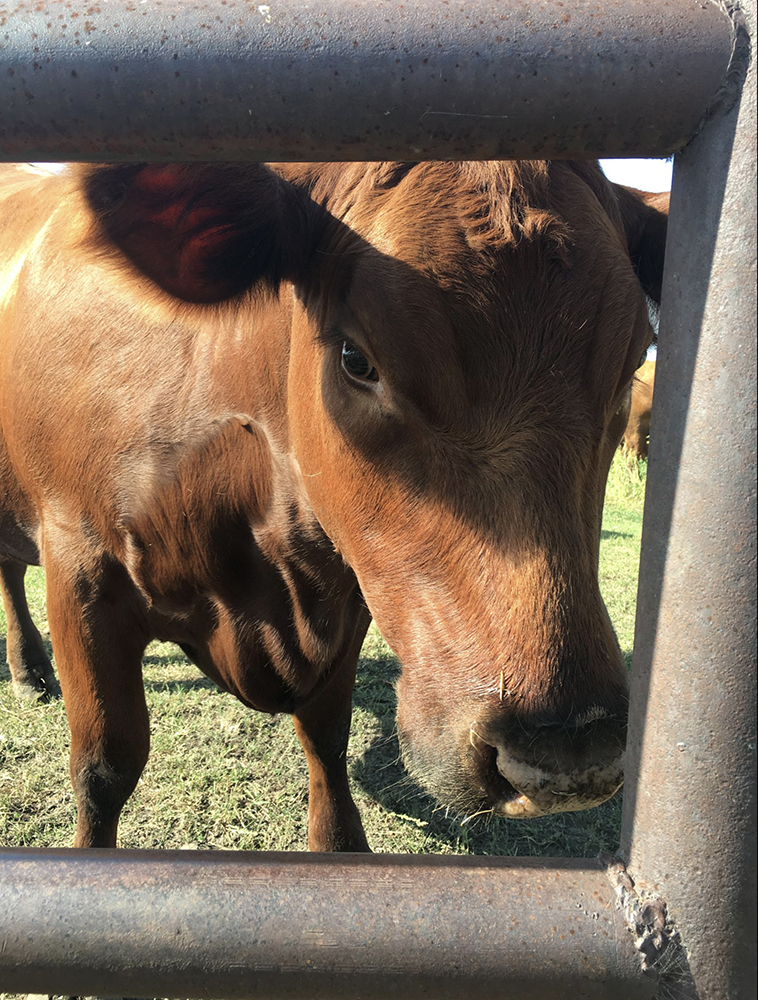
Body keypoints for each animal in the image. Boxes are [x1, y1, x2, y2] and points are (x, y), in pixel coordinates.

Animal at [0, 160, 668, 852]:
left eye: (630, 367)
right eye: (356, 359)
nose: (566, 751)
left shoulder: (352, 597)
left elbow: (326, 736)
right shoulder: (81, 567)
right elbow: (105, 768)